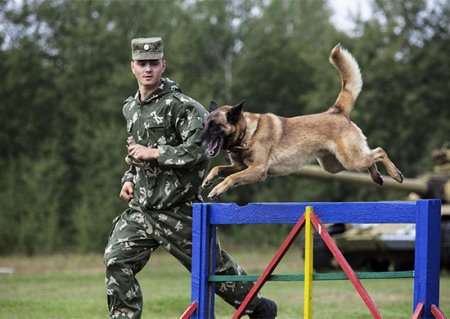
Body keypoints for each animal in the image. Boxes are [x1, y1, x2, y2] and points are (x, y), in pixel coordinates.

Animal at [196, 43, 404, 199]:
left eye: (215, 126)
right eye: (204, 125)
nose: (197, 142)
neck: (248, 133)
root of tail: (336, 111)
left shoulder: (257, 170)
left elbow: (231, 178)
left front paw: (217, 189)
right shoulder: (240, 166)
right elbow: (219, 168)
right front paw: (208, 180)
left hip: (351, 160)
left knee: (379, 152)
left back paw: (395, 174)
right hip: (335, 166)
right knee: (370, 158)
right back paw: (377, 177)